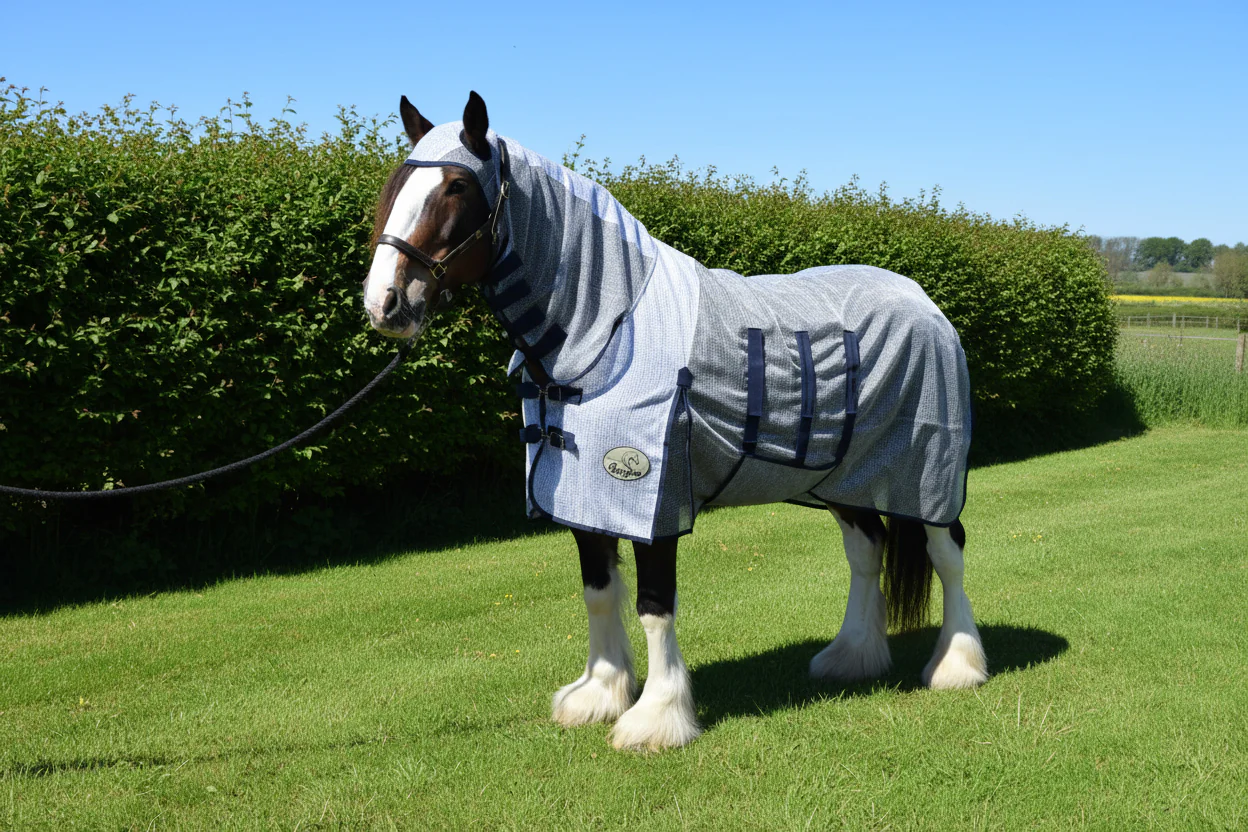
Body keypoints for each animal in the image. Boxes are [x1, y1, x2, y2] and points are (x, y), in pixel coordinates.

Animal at [362, 91, 988, 751]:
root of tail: (923, 301)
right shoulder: (590, 501)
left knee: (947, 550)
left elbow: (654, 606)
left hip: (925, 474)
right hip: (847, 479)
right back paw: (851, 656)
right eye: (396, 183)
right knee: (866, 550)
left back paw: (958, 665)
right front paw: (600, 694)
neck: (607, 332)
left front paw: (656, 718)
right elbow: (599, 593)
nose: (385, 303)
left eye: (457, 187)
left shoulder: (652, 500)